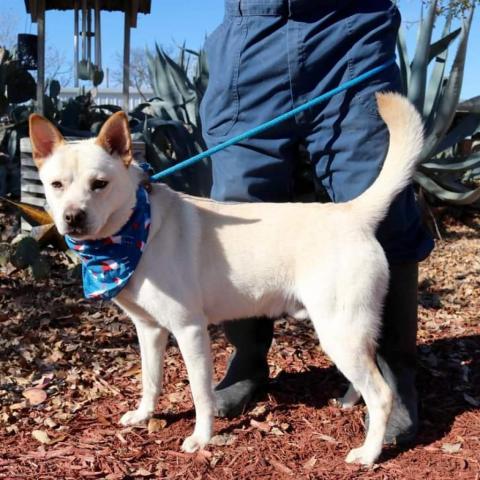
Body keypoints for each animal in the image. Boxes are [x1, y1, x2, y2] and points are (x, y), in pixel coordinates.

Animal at [28, 93, 422, 464]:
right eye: (56, 184)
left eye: (100, 184)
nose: (73, 217)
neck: (135, 234)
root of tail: (352, 213)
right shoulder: (149, 330)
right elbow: (150, 380)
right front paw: (144, 415)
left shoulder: (189, 330)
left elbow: (200, 393)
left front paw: (202, 439)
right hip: (347, 333)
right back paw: (350, 401)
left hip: (339, 331)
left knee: (382, 394)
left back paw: (369, 453)